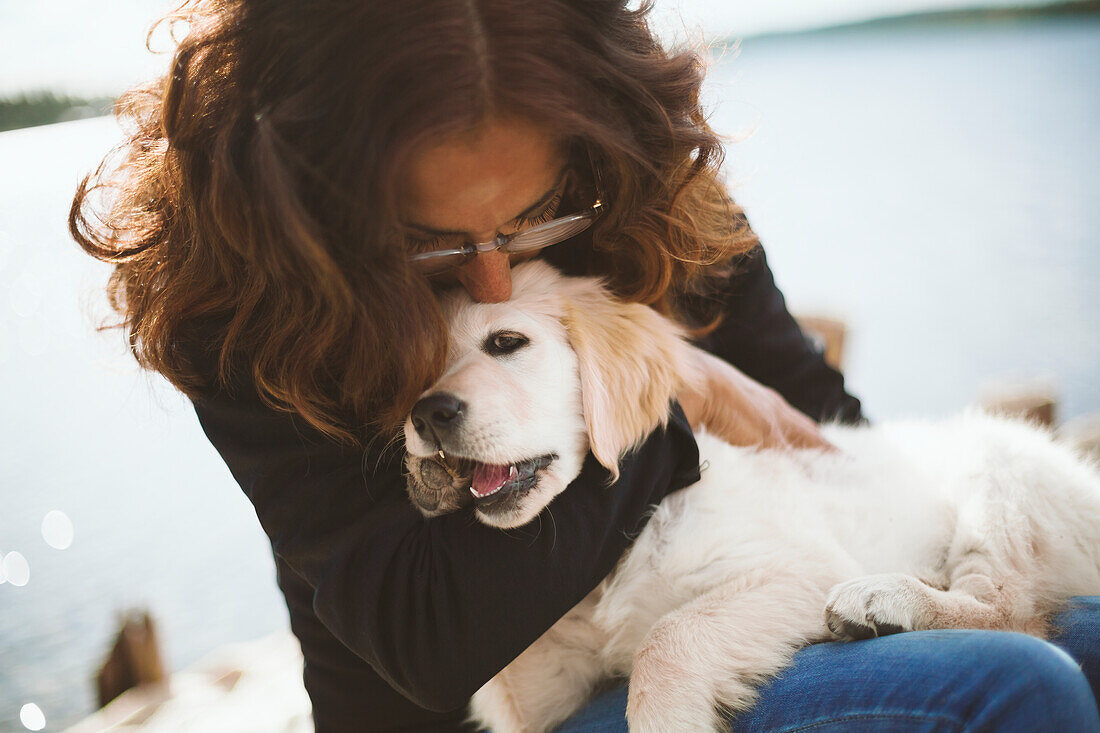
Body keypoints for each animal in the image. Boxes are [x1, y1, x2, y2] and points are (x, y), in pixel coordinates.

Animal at [402, 259, 1100, 726]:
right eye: (416, 370)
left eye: (507, 343)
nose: (427, 415)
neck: (612, 563)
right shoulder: (542, 690)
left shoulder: (799, 568)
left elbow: (670, 634)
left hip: (1002, 477)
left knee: (1012, 612)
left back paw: (882, 598)